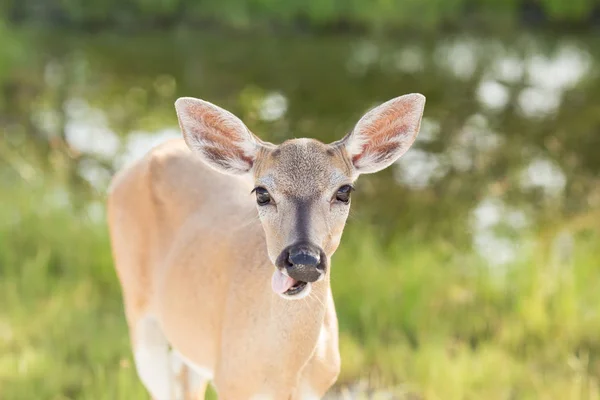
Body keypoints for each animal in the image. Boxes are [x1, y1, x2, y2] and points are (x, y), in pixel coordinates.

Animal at [108, 92, 426, 398]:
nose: (303, 260)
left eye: (344, 191)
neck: (285, 373)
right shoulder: (232, 383)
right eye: (262, 193)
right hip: (139, 313)